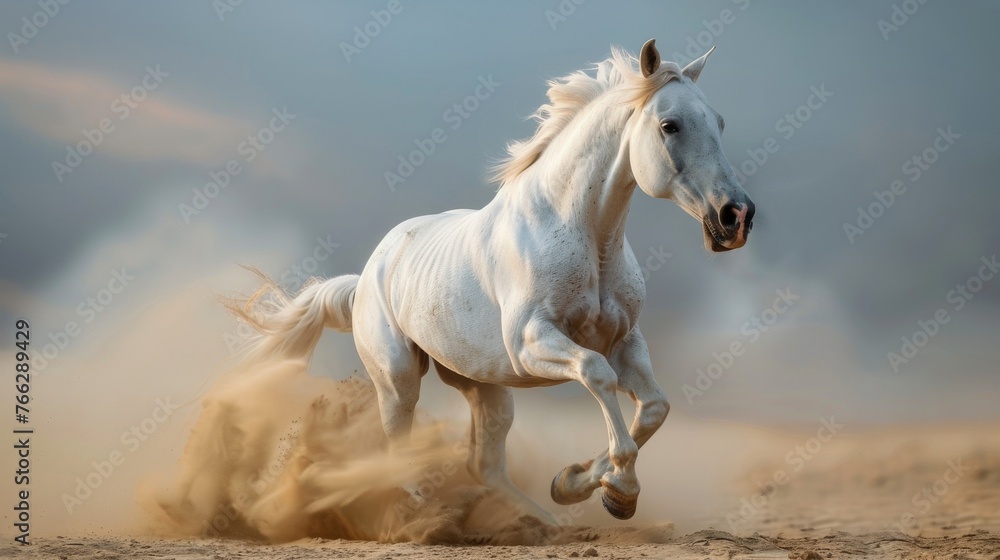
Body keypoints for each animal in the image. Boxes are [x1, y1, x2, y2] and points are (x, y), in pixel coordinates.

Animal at [232, 39, 755, 523]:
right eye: (670, 125)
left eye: (720, 123)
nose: (736, 216)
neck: (585, 237)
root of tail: (364, 278)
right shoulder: (533, 342)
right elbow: (597, 376)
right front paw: (619, 490)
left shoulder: (624, 341)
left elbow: (655, 407)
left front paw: (576, 482)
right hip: (398, 378)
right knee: (399, 449)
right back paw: (420, 514)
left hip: (485, 387)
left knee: (483, 464)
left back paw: (543, 522)